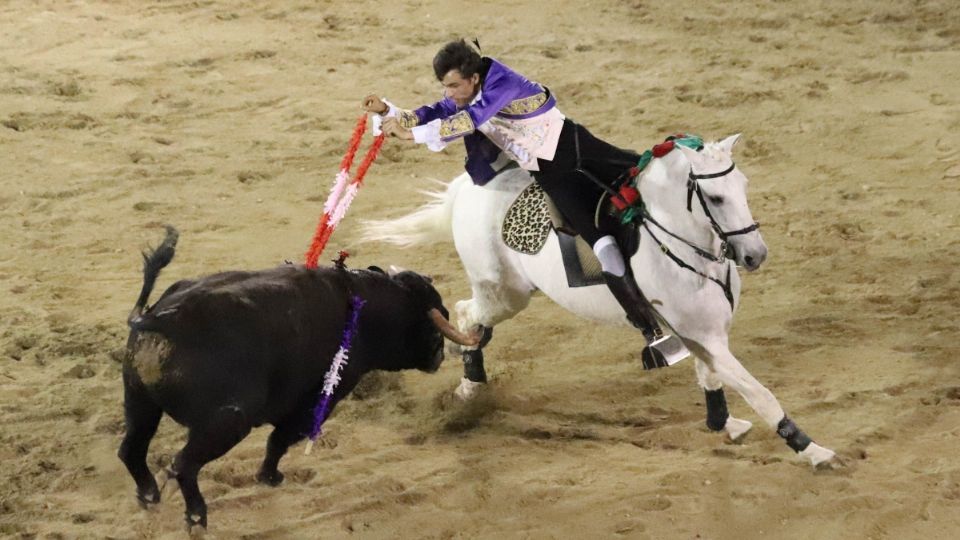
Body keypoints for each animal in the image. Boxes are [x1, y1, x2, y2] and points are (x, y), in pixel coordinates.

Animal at [118, 226, 478, 528]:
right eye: (434, 323)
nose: (439, 355)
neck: (365, 307)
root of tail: (160, 318)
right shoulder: (319, 400)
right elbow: (280, 440)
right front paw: (269, 477)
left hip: (140, 401)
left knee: (132, 449)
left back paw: (149, 496)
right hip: (228, 421)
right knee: (183, 463)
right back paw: (196, 517)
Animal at [366, 135, 840, 468]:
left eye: (743, 185)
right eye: (717, 197)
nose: (755, 255)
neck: (683, 244)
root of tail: (468, 188)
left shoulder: (705, 336)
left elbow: (711, 379)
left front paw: (723, 424)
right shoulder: (706, 336)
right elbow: (761, 394)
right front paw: (813, 450)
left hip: (506, 294)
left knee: (473, 318)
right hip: (504, 293)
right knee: (467, 314)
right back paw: (468, 386)